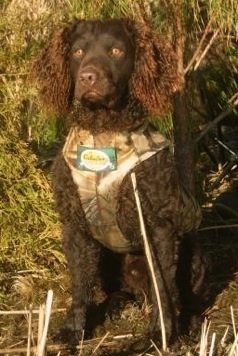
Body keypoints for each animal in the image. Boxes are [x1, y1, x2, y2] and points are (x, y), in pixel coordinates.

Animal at [31, 17, 203, 344]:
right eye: (77, 52)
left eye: (116, 51)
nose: (88, 77)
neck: (103, 135)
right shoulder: (74, 226)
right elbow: (79, 284)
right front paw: (73, 330)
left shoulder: (158, 226)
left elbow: (163, 287)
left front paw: (161, 334)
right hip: (106, 257)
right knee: (118, 290)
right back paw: (115, 306)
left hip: (191, 250)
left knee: (179, 293)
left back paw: (189, 324)